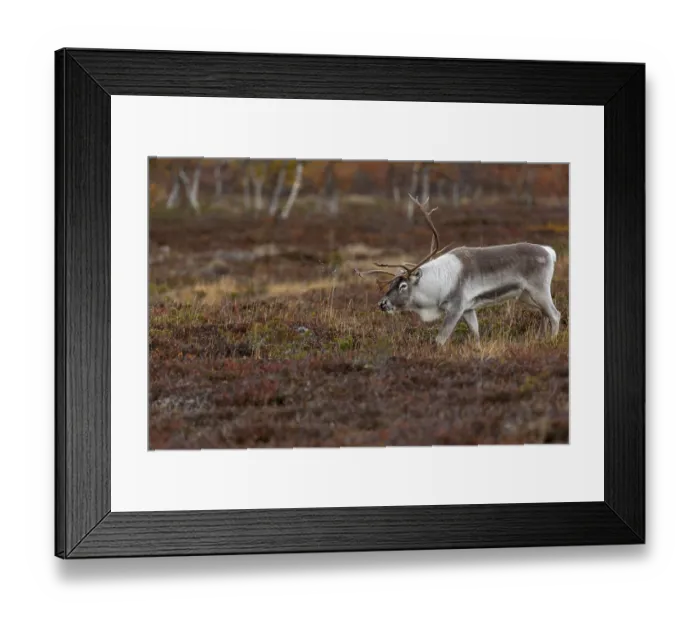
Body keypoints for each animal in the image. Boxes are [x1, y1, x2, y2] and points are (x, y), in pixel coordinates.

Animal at [355, 194, 561, 347]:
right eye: (391, 283)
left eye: (403, 285)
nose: (382, 303)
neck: (436, 286)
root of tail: (549, 251)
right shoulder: (469, 309)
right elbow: (476, 334)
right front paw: (477, 350)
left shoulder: (456, 307)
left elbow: (440, 339)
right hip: (525, 295)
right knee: (544, 314)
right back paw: (540, 339)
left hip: (539, 289)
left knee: (555, 314)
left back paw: (550, 342)